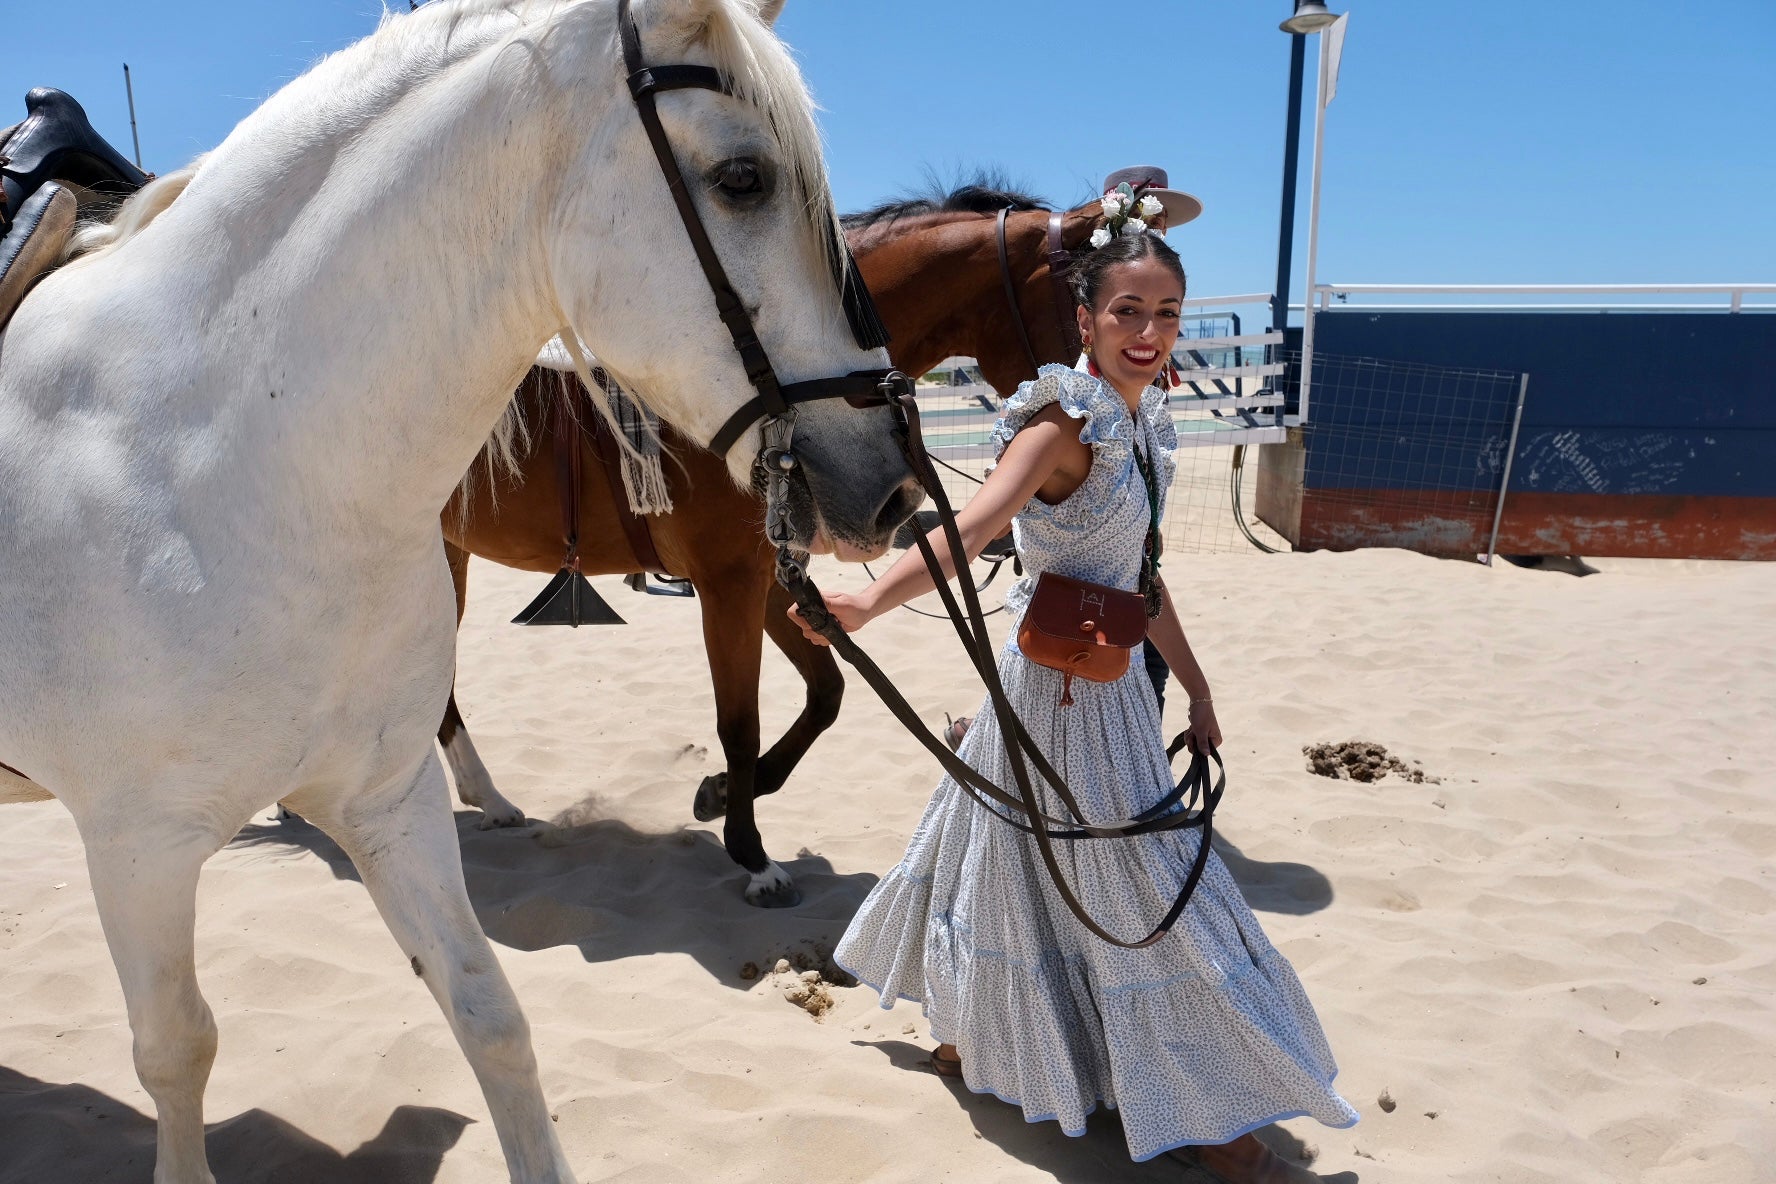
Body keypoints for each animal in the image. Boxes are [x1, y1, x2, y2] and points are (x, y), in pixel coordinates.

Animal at [0, 0, 916, 1178]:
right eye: (745, 179)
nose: (891, 481)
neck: (214, 455)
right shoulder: (135, 847)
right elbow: (176, 1048)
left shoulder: (387, 801)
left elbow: (489, 1011)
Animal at [436, 185, 1094, 908]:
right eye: (1093, 309)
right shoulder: (728, 583)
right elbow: (740, 721)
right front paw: (752, 855)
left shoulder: (774, 575)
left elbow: (827, 693)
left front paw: (723, 793)